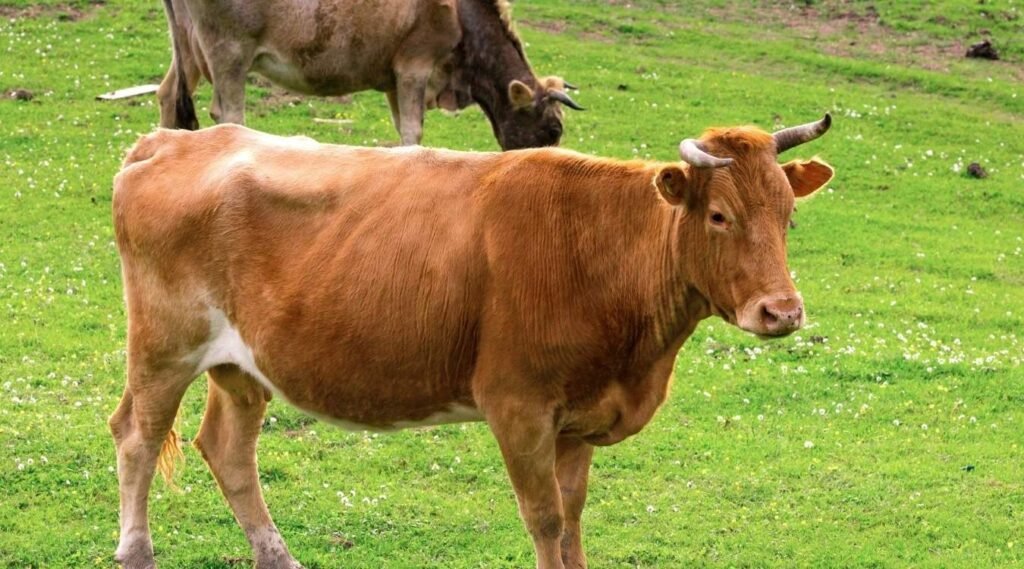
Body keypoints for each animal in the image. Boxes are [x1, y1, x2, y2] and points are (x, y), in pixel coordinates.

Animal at [109, 115, 834, 569]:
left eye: (788, 216)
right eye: (719, 215)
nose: (782, 311)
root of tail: (170, 140)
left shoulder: (580, 413)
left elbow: (573, 514)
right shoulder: (517, 404)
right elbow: (544, 517)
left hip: (242, 364)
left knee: (227, 448)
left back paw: (277, 554)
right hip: (164, 345)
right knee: (137, 436)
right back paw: (136, 551)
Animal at [158, 0, 583, 149]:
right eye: (553, 129)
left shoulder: (394, 78)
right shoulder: (414, 65)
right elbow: (413, 131)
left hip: (189, 52)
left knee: (167, 96)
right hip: (228, 50)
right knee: (228, 113)